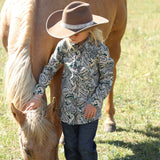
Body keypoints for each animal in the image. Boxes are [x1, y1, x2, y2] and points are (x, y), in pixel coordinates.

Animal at [0, 0, 127, 159]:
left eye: (54, 145)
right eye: (26, 150)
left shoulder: (59, 72)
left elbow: (56, 116)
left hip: (114, 44)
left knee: (111, 78)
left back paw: (110, 121)